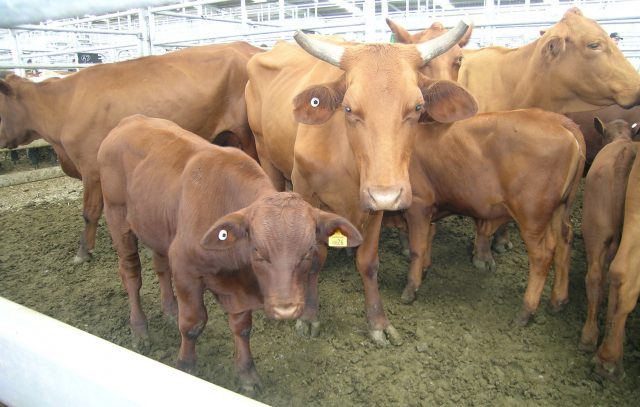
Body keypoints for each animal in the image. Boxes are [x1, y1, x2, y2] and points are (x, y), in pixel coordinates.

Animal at [0, 41, 262, 264]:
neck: (64, 104)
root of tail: (246, 46)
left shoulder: (91, 169)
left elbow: (89, 212)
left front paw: (83, 252)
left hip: (249, 139)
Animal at [97, 114, 362, 392]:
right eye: (258, 250)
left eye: (309, 250)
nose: (286, 309)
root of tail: (130, 120)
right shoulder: (185, 269)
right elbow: (192, 324)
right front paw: (186, 365)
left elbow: (242, 327)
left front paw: (247, 373)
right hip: (118, 219)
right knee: (131, 275)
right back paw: (139, 329)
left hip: (156, 227)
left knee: (160, 267)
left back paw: (169, 310)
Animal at [248, 23, 478, 346]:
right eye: (348, 108)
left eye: (417, 106)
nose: (386, 194)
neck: (346, 160)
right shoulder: (307, 190)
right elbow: (314, 258)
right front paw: (309, 316)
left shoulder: (376, 202)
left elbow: (369, 263)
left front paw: (378, 322)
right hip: (264, 152)